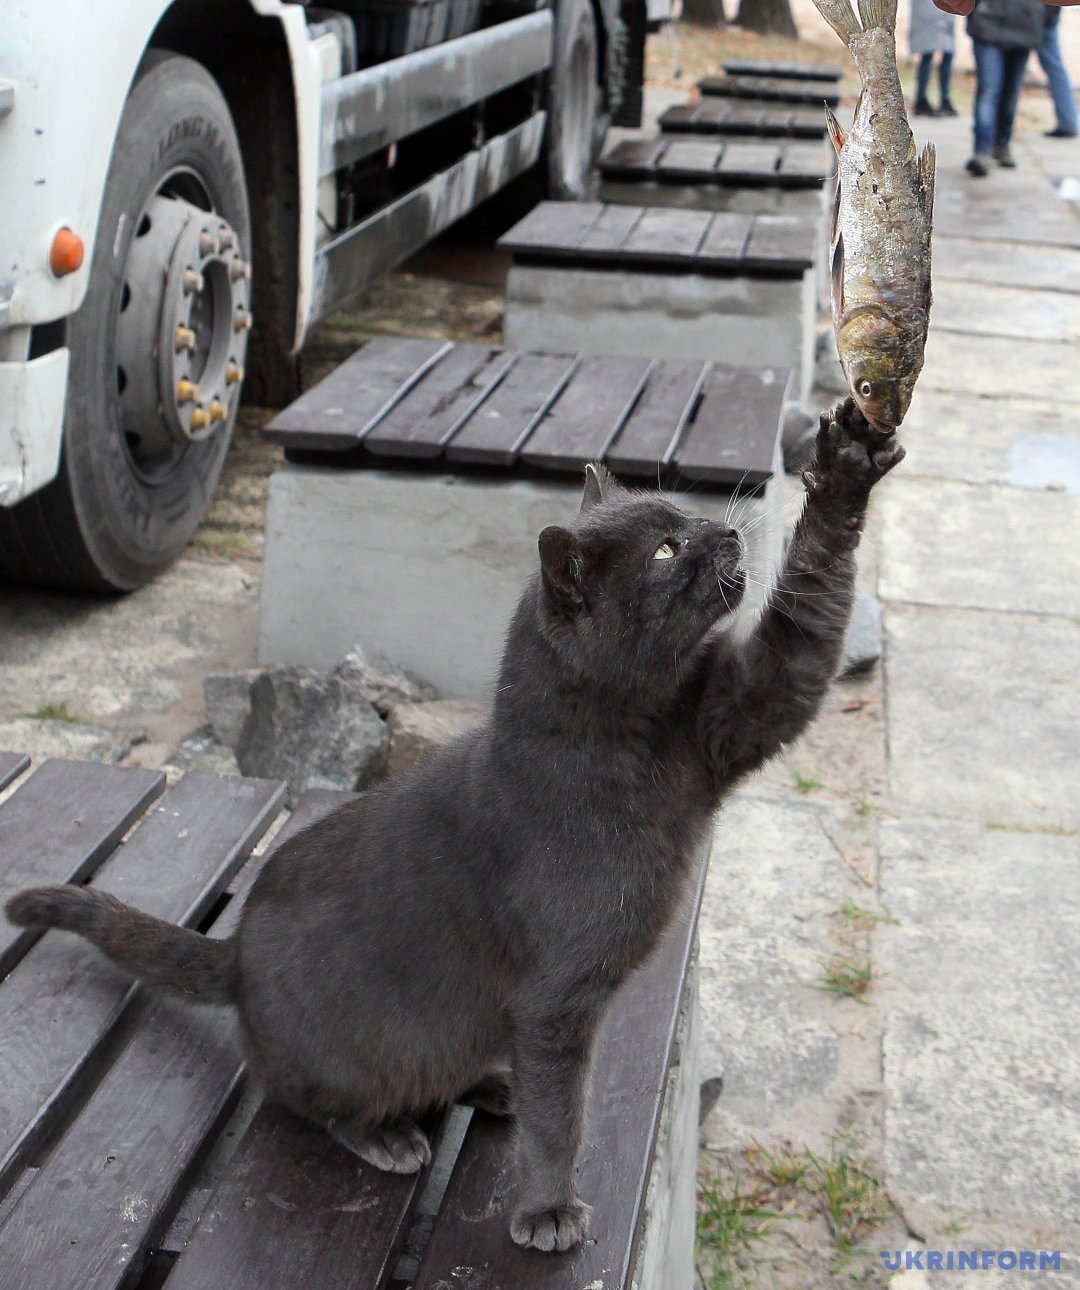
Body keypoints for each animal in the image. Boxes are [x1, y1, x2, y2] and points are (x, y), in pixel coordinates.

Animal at [8, 399, 903, 1248]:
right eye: (663, 550)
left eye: (679, 511)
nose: (725, 529)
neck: (633, 741)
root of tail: (233, 956)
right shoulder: (555, 1003)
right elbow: (560, 1119)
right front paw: (547, 1211)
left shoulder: (730, 717)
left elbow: (801, 636)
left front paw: (847, 466)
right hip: (355, 1056)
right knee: (303, 1099)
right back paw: (389, 1136)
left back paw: (490, 1084)